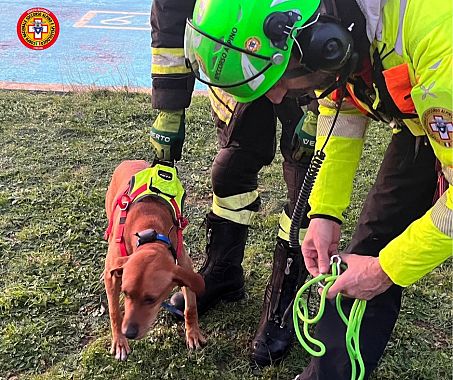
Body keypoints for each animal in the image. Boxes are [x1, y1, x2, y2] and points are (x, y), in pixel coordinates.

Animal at [104, 160, 205, 360]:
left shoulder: (185, 267)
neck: (149, 232)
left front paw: (193, 333)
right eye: (126, 293)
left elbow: (190, 307)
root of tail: (129, 161)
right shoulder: (111, 274)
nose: (128, 333)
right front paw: (119, 341)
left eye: (151, 299)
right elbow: (114, 312)